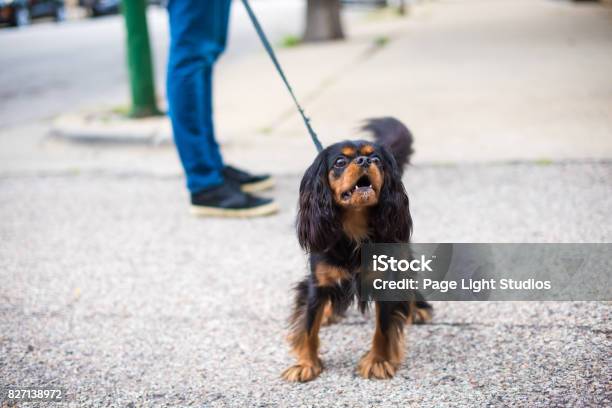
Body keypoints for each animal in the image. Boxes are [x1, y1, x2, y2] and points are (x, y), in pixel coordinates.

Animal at [280, 115, 432, 382]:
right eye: (340, 161)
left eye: (377, 160)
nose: (365, 160)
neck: (354, 229)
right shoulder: (317, 282)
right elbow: (309, 325)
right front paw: (306, 364)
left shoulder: (385, 282)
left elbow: (383, 328)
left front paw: (378, 361)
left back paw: (418, 308)